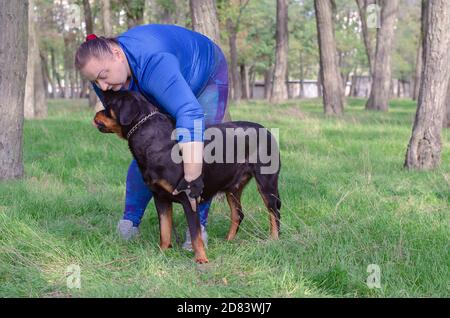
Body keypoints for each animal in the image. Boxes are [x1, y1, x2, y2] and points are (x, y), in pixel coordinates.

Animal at [95, 90, 282, 264]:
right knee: (238, 214)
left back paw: (274, 240)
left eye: (108, 105)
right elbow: (165, 229)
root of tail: (267, 131)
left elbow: (195, 233)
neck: (152, 139)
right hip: (233, 187)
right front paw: (163, 251)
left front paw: (201, 259)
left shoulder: (189, 198)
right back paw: (228, 241)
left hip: (266, 182)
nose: (96, 113)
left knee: (274, 211)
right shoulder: (160, 198)